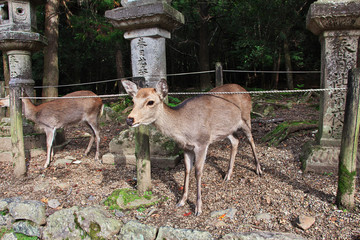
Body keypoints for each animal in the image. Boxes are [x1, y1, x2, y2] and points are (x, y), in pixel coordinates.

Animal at [121, 79, 262, 216]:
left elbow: (198, 172)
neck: (183, 130)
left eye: (150, 102)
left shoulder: (202, 143)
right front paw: (181, 201)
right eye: (133, 101)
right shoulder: (186, 147)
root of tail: (244, 90)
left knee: (251, 139)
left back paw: (258, 169)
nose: (129, 120)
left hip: (246, 117)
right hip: (226, 130)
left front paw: (198, 208)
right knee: (236, 141)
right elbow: (187, 170)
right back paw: (228, 175)